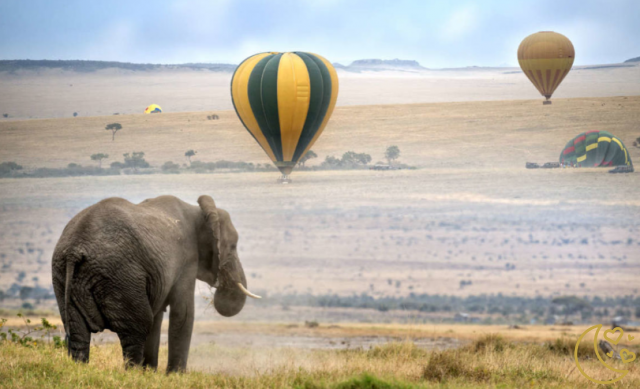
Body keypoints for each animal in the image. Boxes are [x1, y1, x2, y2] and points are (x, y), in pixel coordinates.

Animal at [50, 196, 260, 372]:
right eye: (233, 246)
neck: (198, 210)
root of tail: (75, 249)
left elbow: (158, 316)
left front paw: (151, 373)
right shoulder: (187, 259)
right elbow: (183, 313)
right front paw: (175, 376)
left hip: (63, 275)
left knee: (78, 332)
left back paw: (80, 369)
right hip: (120, 275)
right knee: (137, 327)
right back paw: (132, 374)